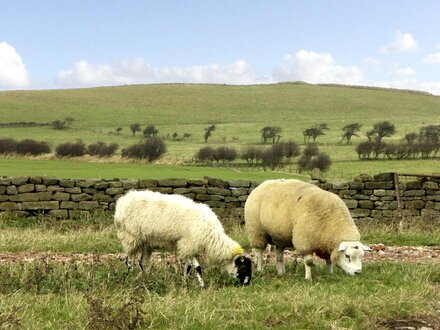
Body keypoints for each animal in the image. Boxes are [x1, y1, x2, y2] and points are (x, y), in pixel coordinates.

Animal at [113, 189, 251, 288]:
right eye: (243, 267)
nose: (247, 285)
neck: (210, 237)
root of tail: (123, 201)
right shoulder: (189, 243)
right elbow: (197, 268)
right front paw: (202, 286)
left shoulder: (189, 246)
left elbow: (188, 267)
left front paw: (185, 283)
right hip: (130, 237)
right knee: (129, 260)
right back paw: (131, 277)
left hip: (147, 243)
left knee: (143, 263)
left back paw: (145, 281)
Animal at [244, 179, 372, 280]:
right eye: (347, 256)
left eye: (361, 256)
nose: (357, 272)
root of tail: (262, 184)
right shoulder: (305, 242)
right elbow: (309, 262)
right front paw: (308, 278)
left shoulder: (326, 244)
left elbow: (329, 260)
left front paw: (330, 273)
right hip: (256, 231)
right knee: (259, 253)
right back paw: (260, 270)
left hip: (279, 235)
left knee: (279, 255)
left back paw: (281, 273)